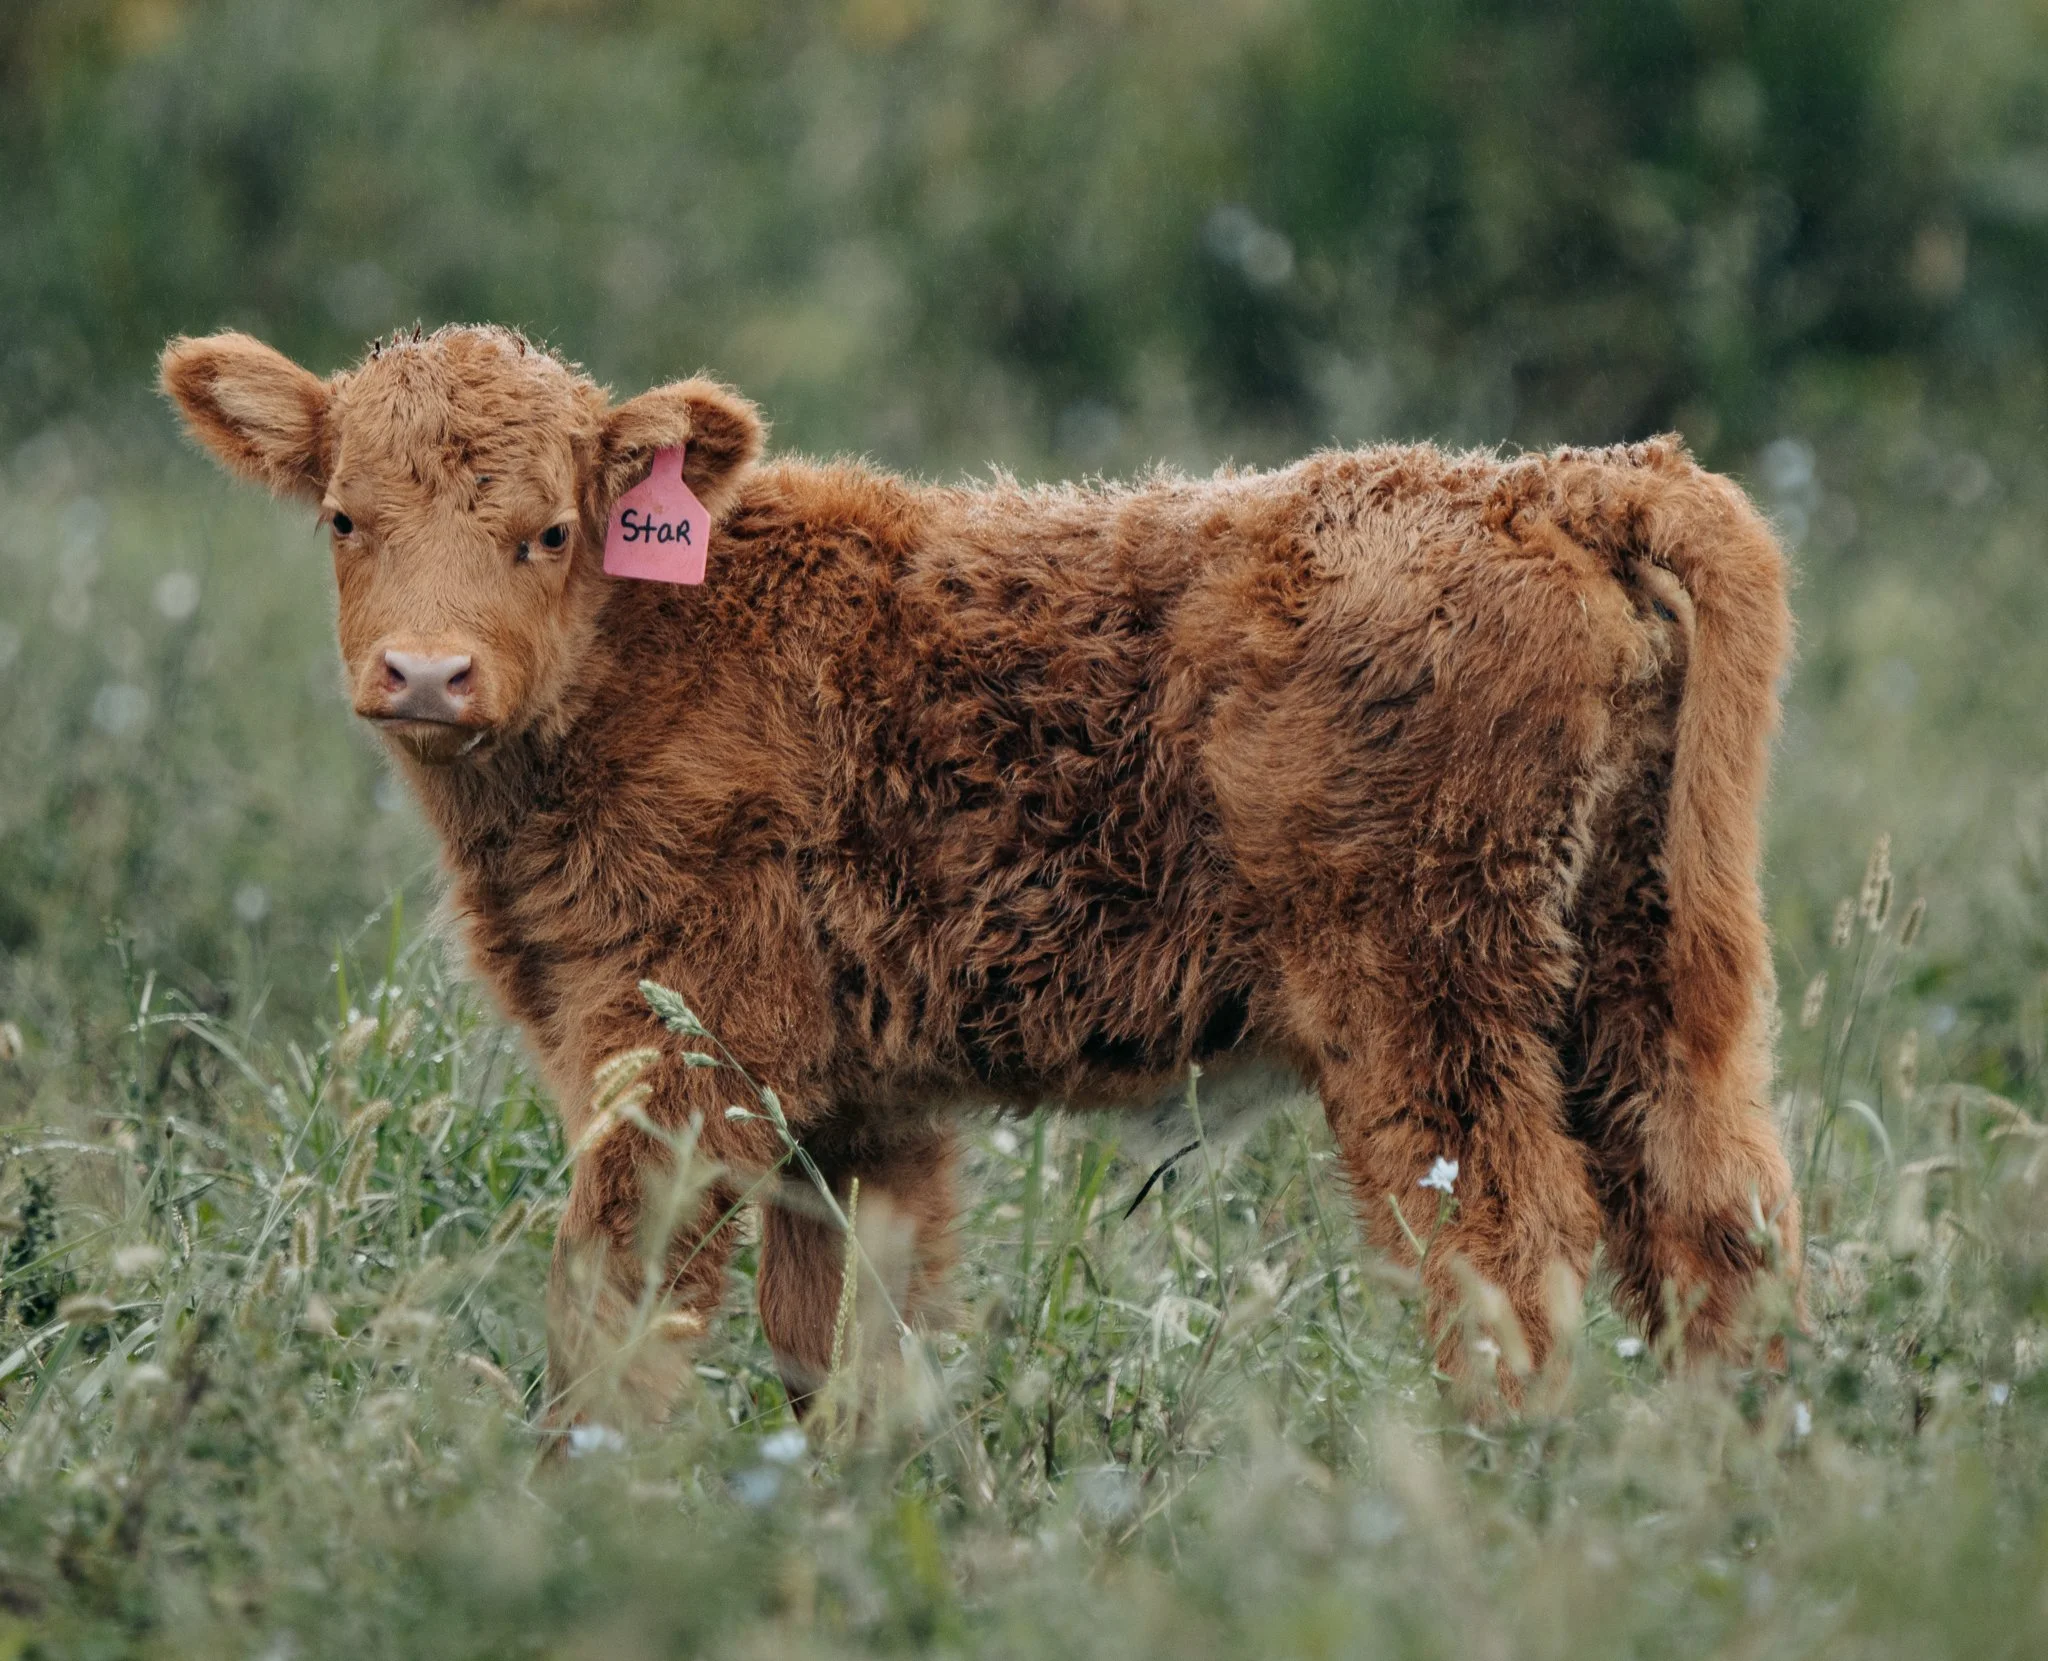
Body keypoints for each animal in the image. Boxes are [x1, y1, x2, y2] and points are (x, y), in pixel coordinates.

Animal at [159, 324, 1799, 1430]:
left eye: (548, 530)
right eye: (344, 516)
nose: (425, 672)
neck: (655, 643)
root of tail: (1552, 484)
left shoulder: (678, 1057)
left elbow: (614, 1316)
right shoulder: (853, 1112)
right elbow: (837, 1350)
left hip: (1426, 1015)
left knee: (1512, 1262)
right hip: (1642, 984)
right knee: (1714, 1234)